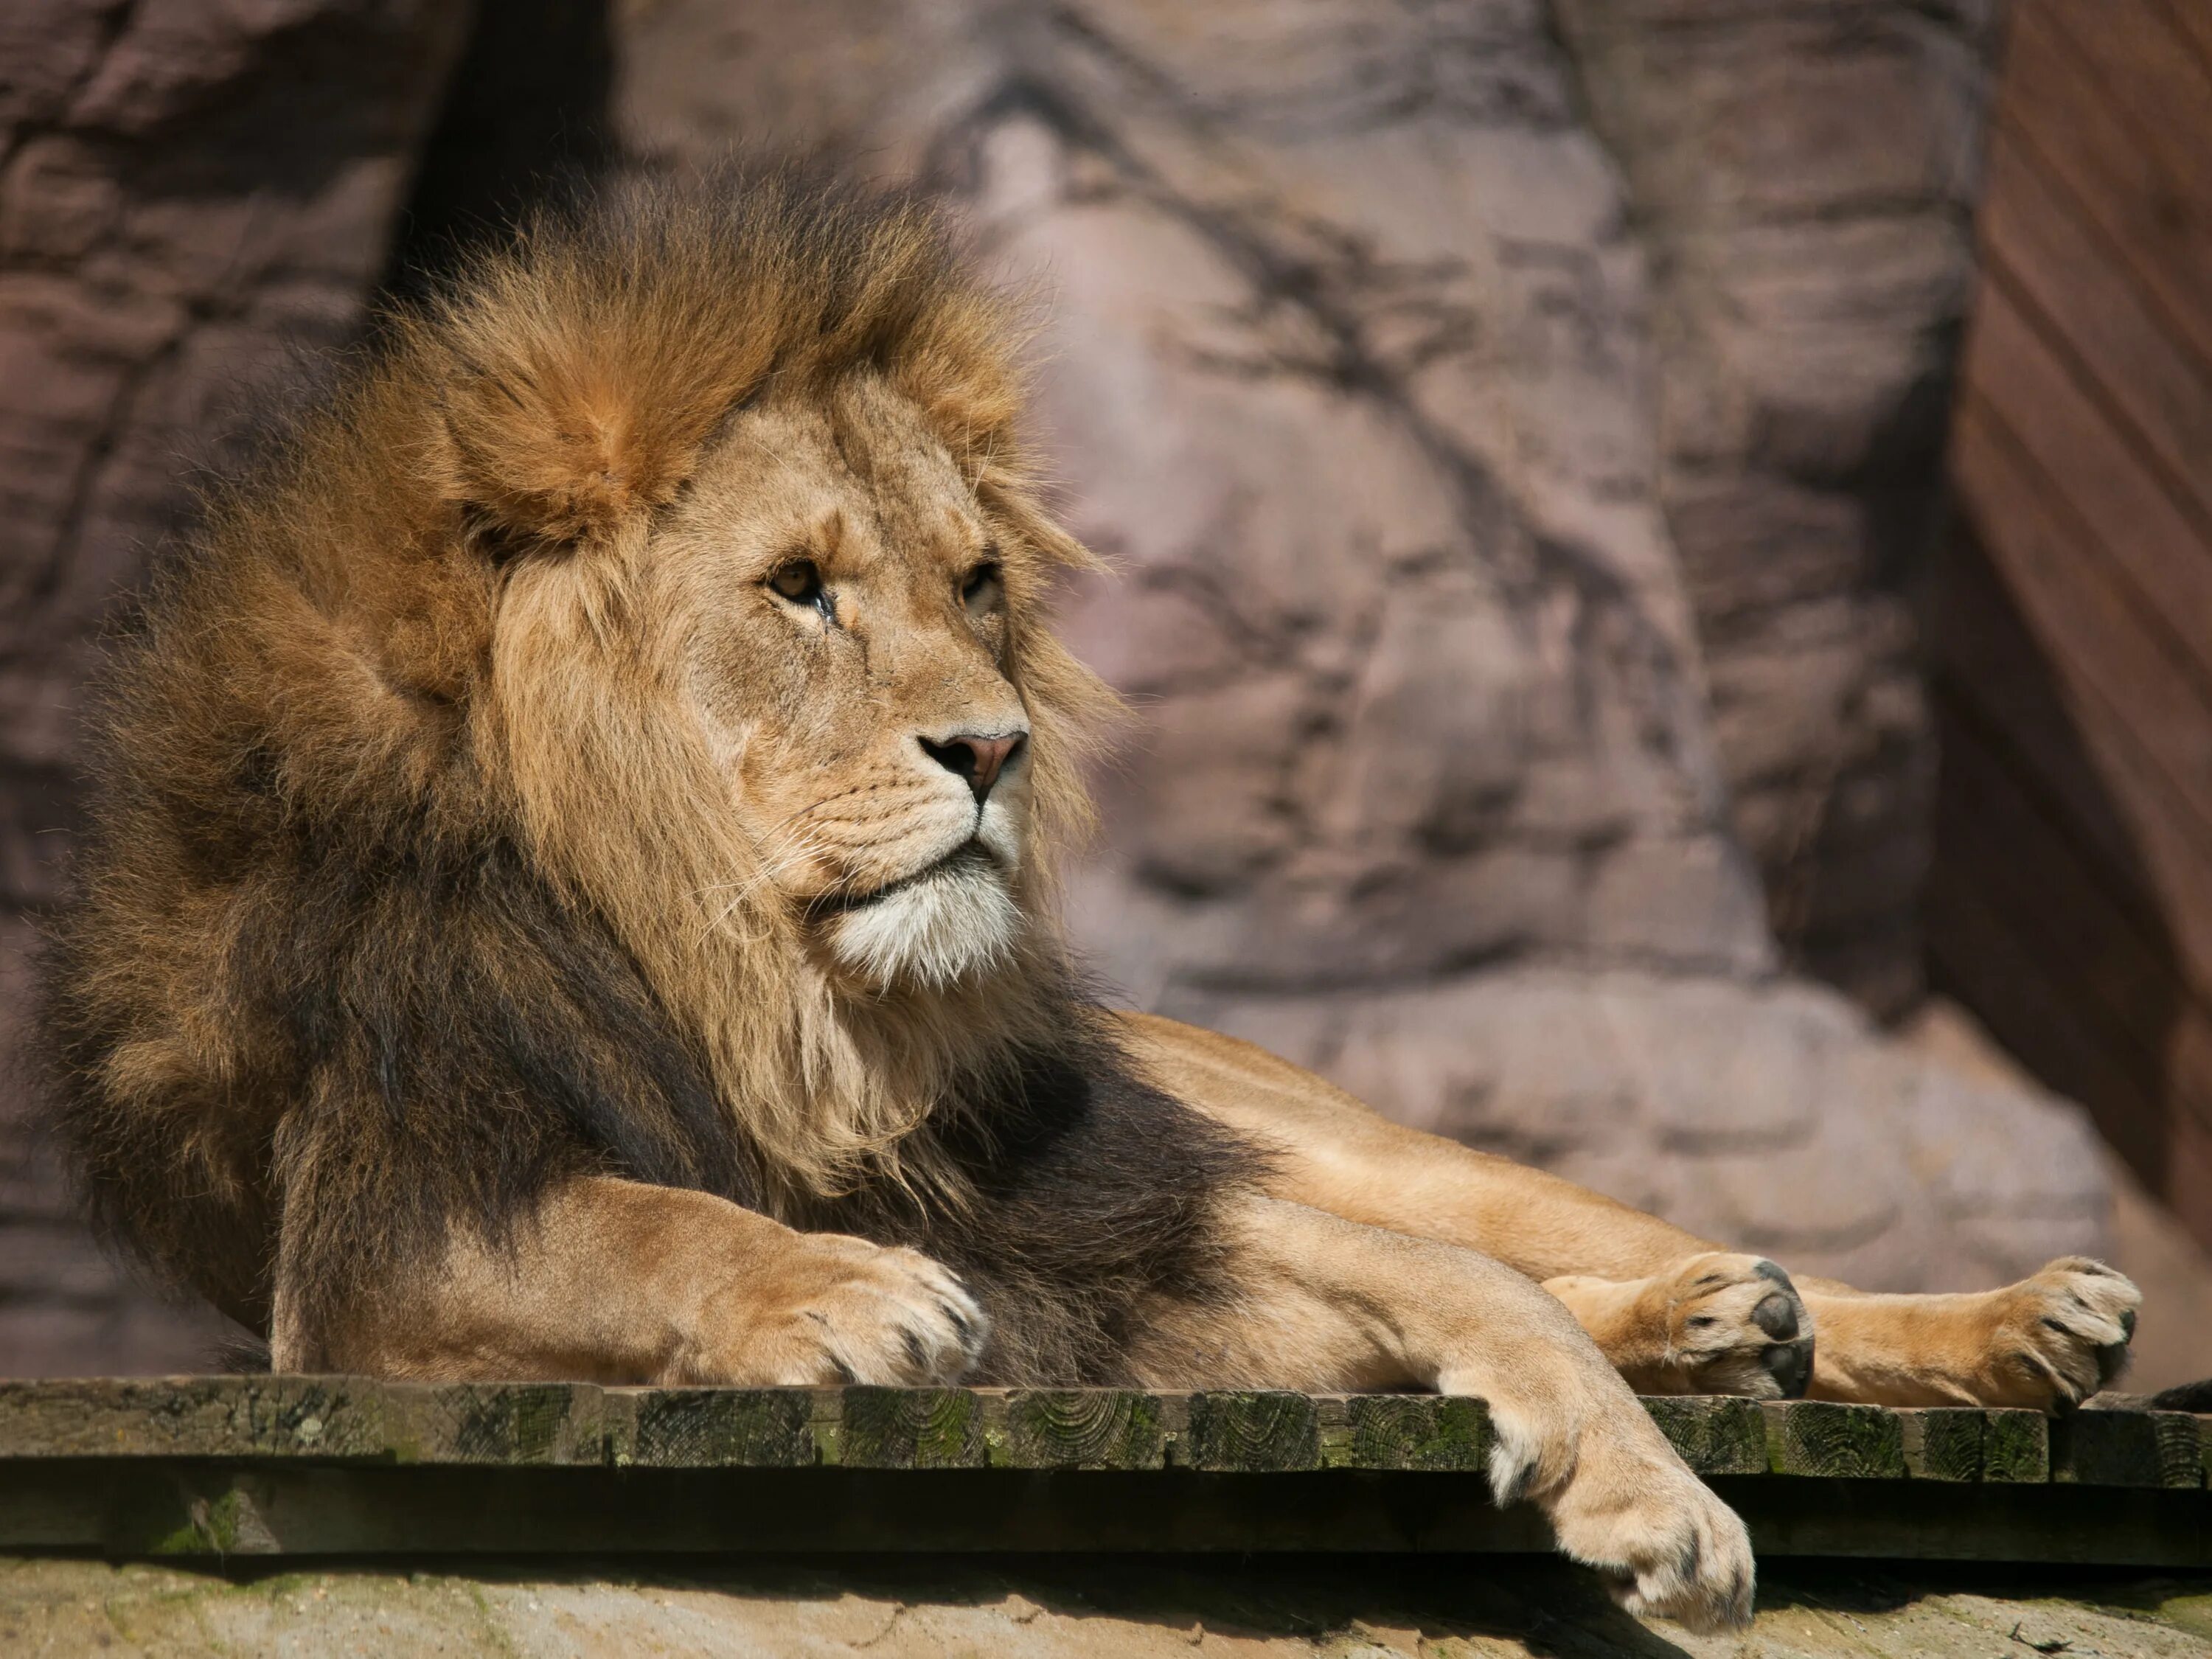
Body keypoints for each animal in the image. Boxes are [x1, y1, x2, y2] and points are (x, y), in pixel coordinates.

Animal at [38, 173, 2141, 1637]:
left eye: (973, 582)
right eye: (799, 589)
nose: (994, 748)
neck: (776, 1005)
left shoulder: (1114, 1217)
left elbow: (1456, 1278)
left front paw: (1662, 1501)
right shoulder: (386, 1234)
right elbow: (646, 1223)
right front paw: (846, 1289)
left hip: (1296, 1117)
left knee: (1532, 1228)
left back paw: (1990, 1317)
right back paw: (1717, 1331)